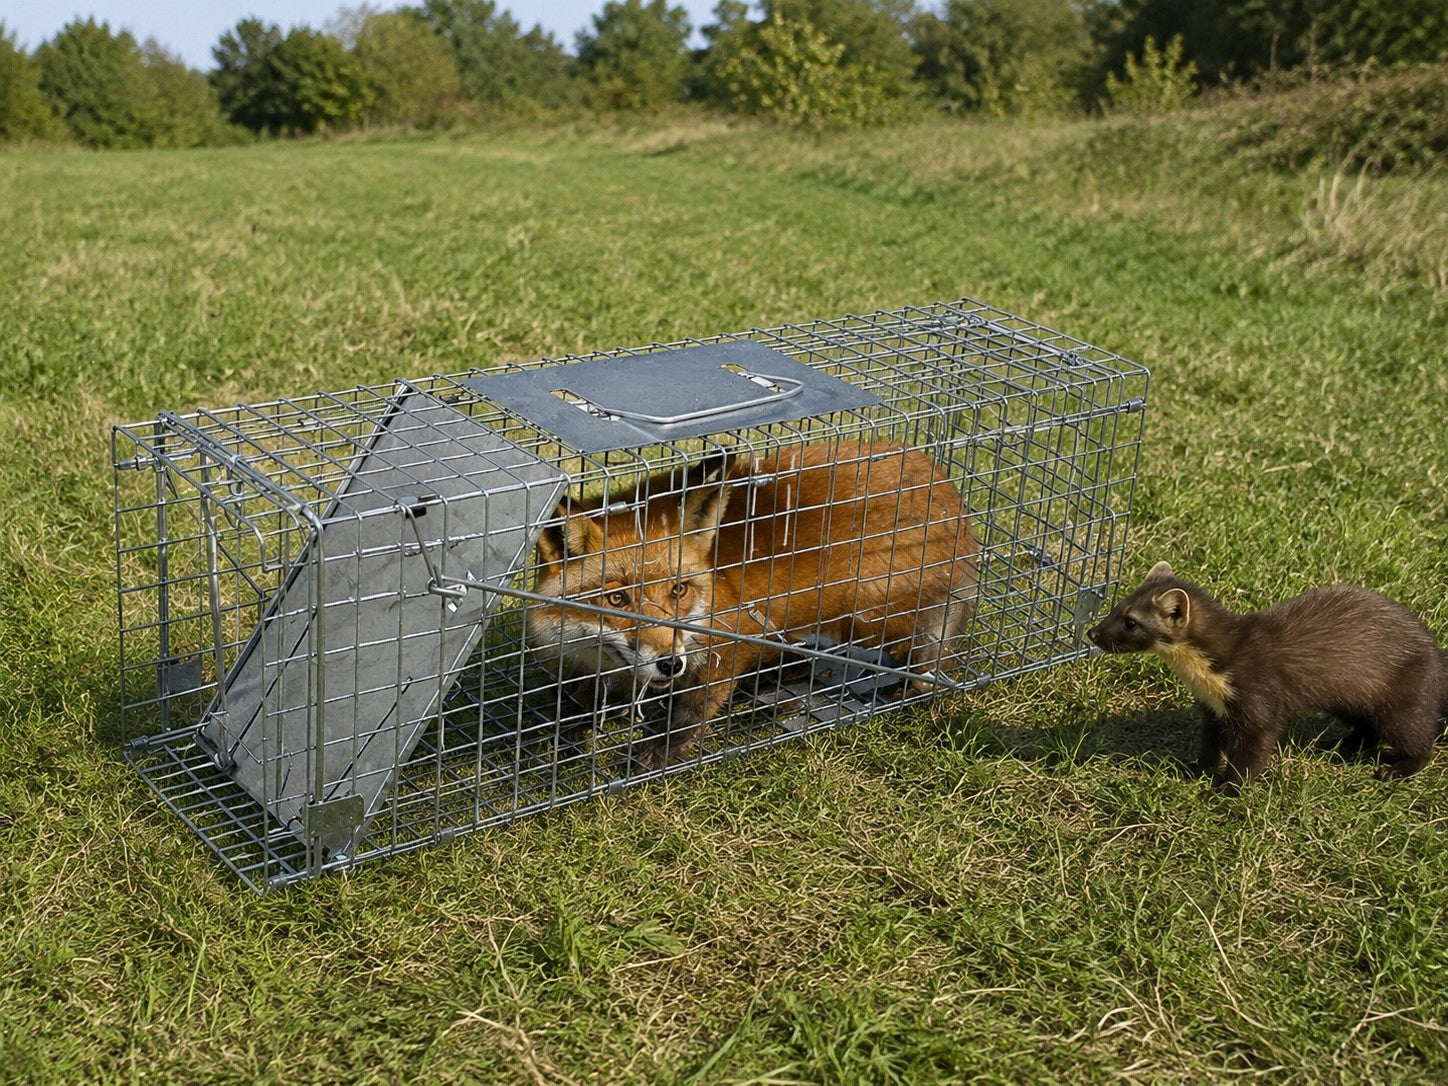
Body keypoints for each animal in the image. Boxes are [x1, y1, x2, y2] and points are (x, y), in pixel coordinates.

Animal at [525, 441, 979, 768]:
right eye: (617, 598)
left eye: (678, 591)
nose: (670, 664)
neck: (714, 582)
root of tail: (942, 480)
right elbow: (587, 694)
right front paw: (572, 719)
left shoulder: (730, 642)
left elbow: (693, 707)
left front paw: (665, 749)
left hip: (867, 614)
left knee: (933, 638)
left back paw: (917, 679)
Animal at [1088, 561, 1447, 794]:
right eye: (1117, 605)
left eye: (1131, 622)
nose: (1093, 633)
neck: (1205, 675)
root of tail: (1436, 653)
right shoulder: (1213, 707)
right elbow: (1209, 743)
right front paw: (1196, 768)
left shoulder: (1257, 700)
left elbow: (1252, 752)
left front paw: (1225, 790)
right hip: (1351, 699)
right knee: (1368, 728)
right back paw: (1340, 745)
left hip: (1403, 701)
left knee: (1418, 739)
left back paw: (1395, 769)